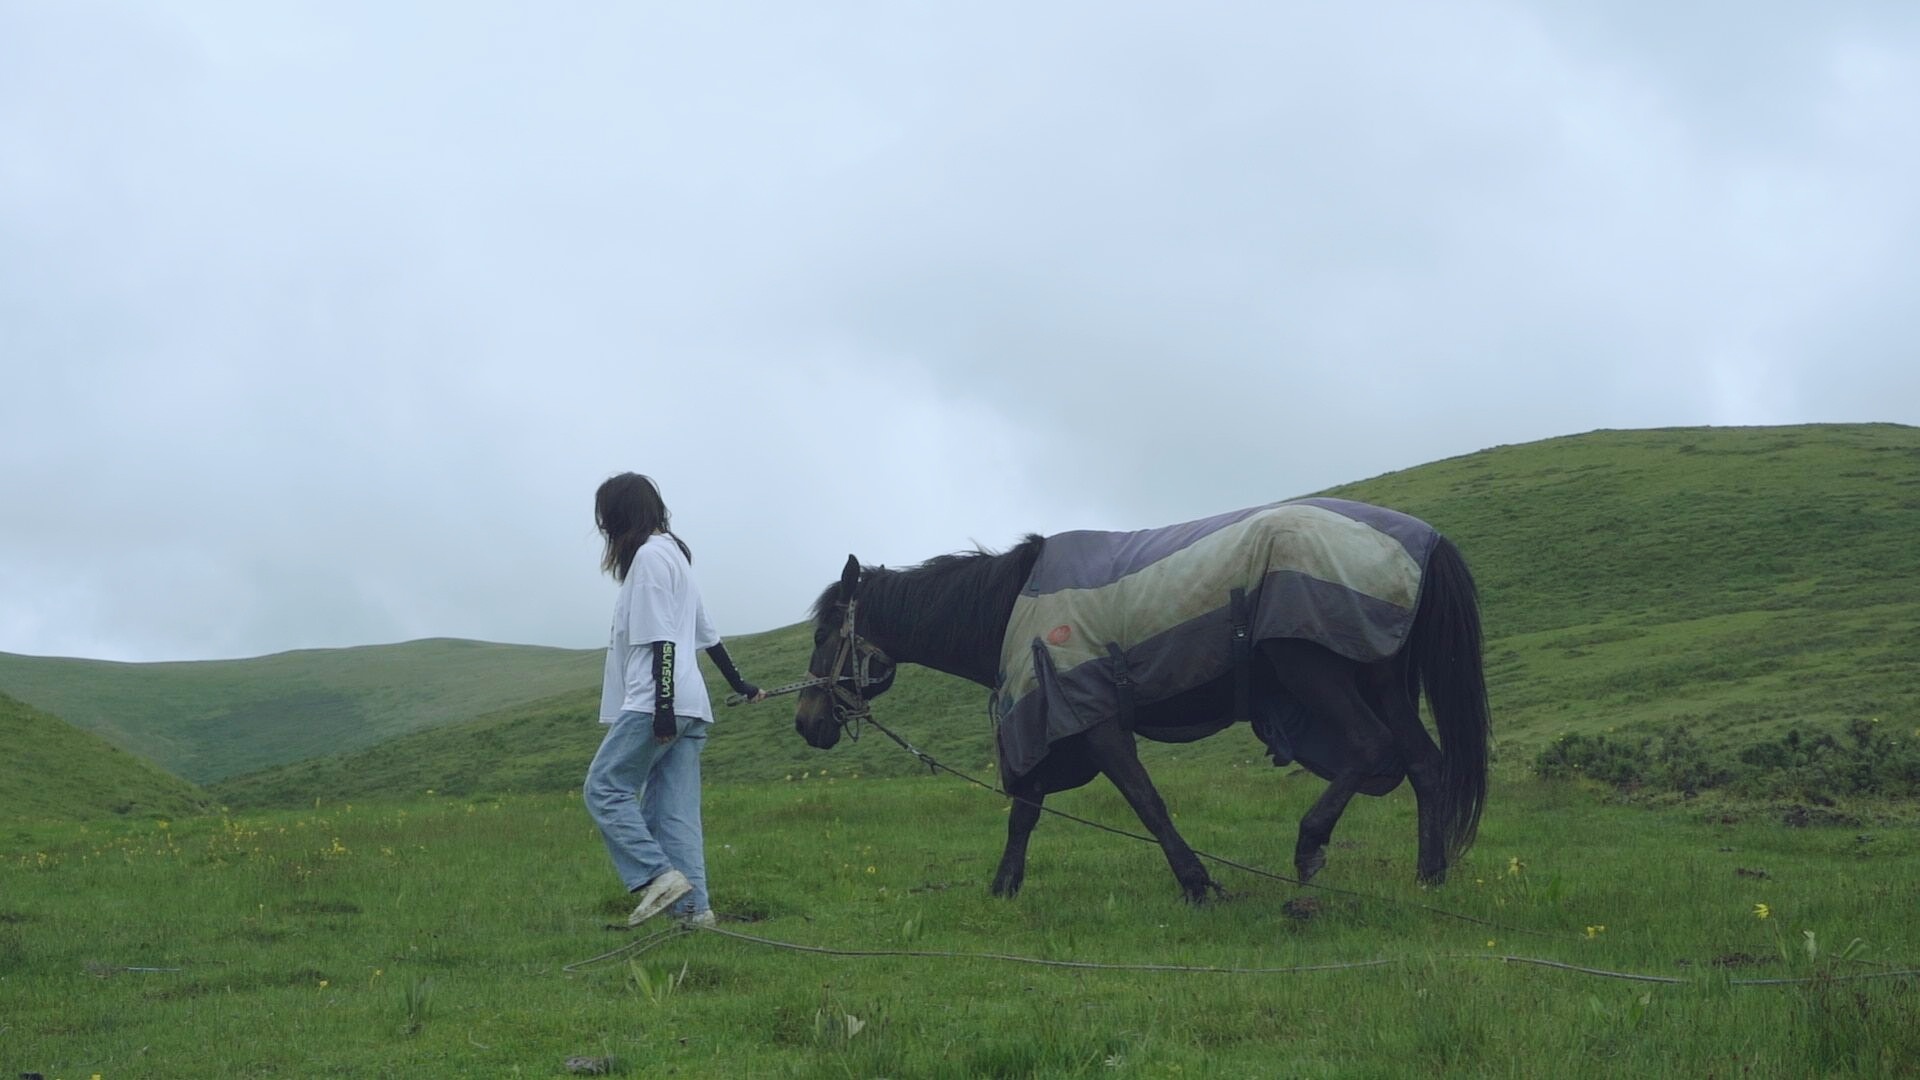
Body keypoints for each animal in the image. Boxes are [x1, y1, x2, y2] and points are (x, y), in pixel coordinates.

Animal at [787, 495, 1489, 899]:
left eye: (823, 634)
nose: (806, 721)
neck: (1012, 605)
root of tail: (1422, 540)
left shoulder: (1086, 716)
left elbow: (1145, 803)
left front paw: (1198, 884)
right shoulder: (1051, 721)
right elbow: (1025, 811)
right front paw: (1004, 886)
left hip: (1315, 668)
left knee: (1372, 750)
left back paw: (1310, 846)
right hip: (1380, 678)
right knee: (1425, 764)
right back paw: (1430, 876)